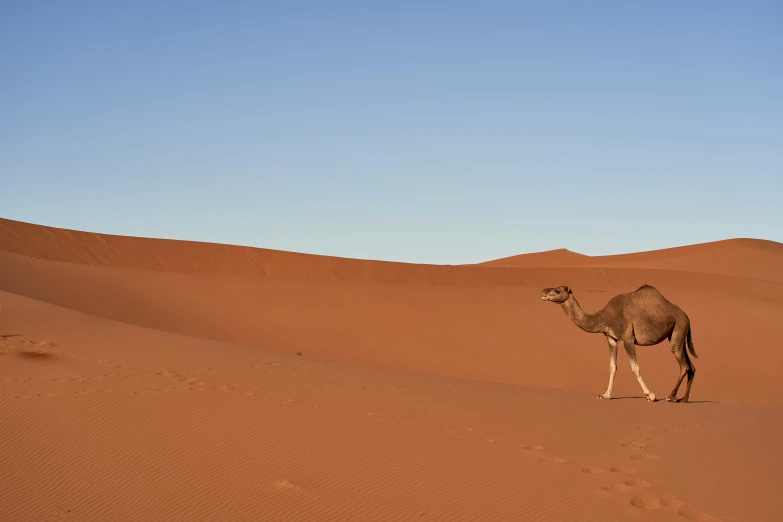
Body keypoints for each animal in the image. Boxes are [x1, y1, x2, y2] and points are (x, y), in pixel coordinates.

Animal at [540, 284, 700, 402]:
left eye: (557, 290)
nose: (543, 292)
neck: (604, 317)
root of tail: (686, 316)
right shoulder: (611, 338)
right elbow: (612, 367)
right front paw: (605, 395)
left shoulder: (627, 338)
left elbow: (635, 368)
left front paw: (650, 395)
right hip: (678, 336)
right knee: (691, 366)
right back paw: (684, 399)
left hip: (678, 328)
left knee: (684, 366)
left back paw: (671, 397)